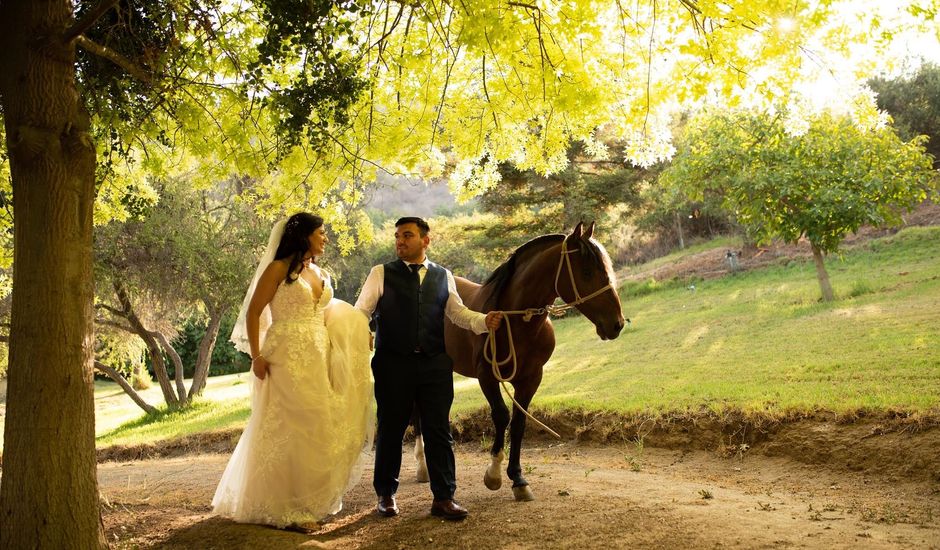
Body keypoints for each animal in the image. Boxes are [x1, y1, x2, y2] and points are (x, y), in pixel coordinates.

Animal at [422, 222, 620, 502]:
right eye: (587, 271)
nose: (617, 323)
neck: (514, 321)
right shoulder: (487, 376)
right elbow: (501, 415)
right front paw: (493, 474)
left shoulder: (531, 378)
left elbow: (518, 422)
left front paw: (518, 478)